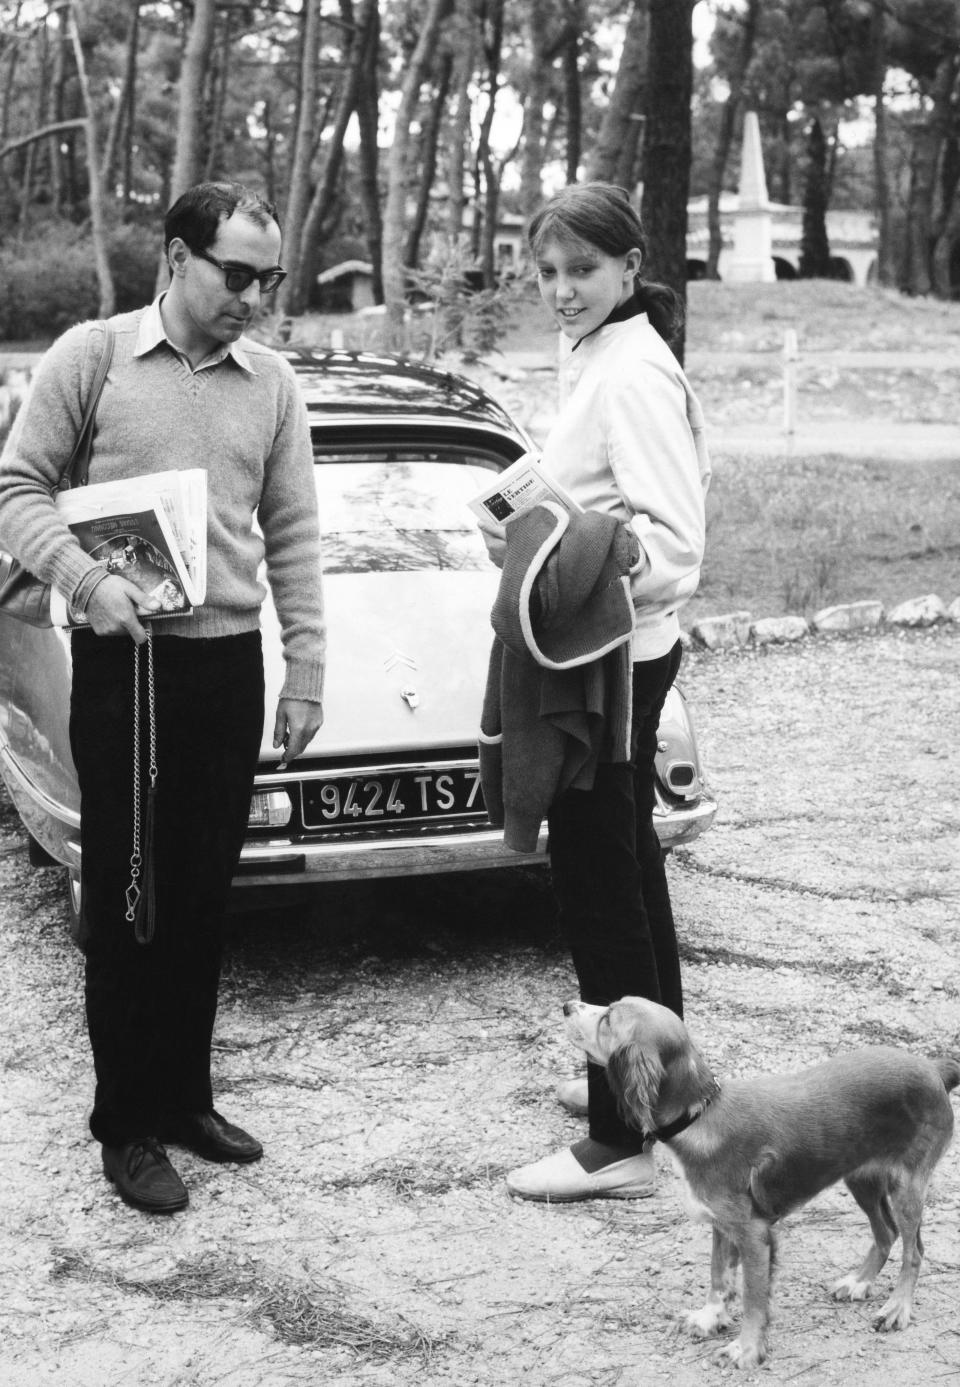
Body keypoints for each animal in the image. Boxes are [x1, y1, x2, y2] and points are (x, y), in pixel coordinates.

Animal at [563, 993, 960, 1370]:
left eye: (608, 1018)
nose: (566, 1006)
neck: (699, 1115)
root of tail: (932, 1067)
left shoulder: (754, 1235)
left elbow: (753, 1299)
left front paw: (746, 1349)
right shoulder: (722, 1226)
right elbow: (718, 1278)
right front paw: (710, 1318)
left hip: (907, 1187)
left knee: (914, 1250)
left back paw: (897, 1308)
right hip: (861, 1178)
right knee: (885, 1232)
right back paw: (858, 1282)